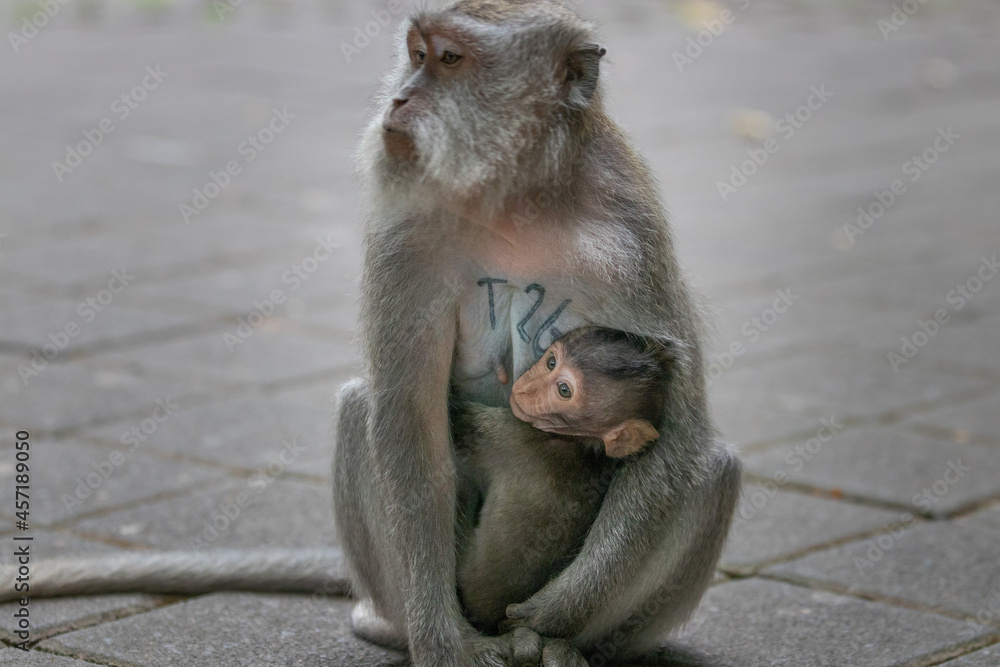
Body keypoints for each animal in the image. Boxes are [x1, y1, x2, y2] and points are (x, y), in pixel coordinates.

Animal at [454, 326, 675, 633]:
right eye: (551, 362)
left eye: (564, 390)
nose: (526, 388)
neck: (581, 444)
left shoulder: (513, 437)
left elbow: (457, 422)